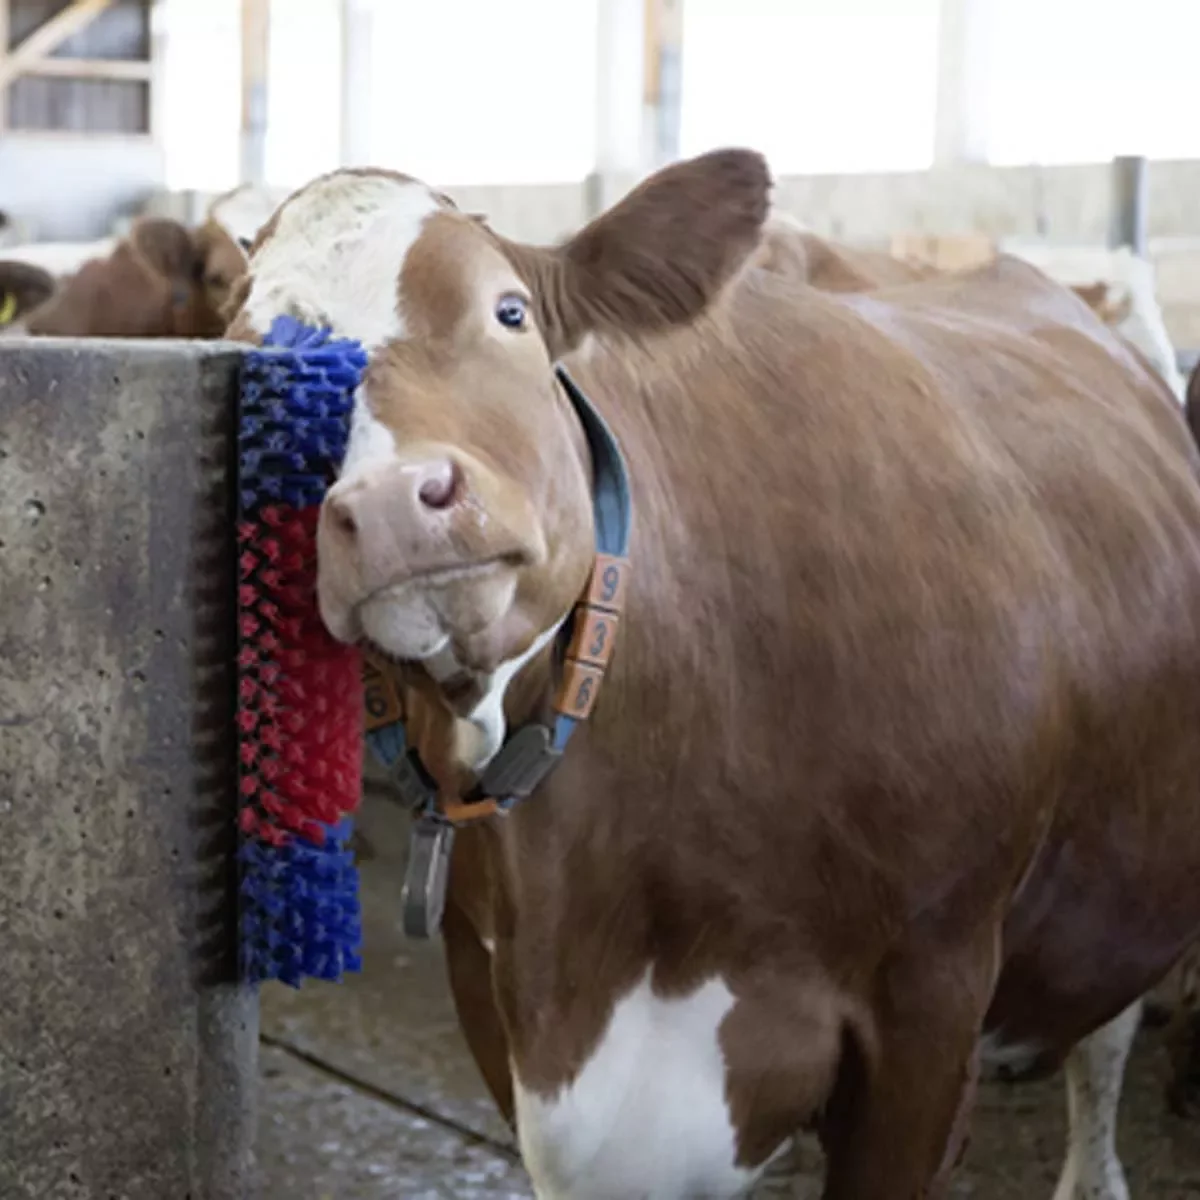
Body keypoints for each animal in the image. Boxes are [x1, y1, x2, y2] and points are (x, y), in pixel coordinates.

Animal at [224, 151, 1200, 1200]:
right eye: (255, 386)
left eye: (509, 311)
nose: (392, 506)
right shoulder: (497, 1000)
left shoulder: (930, 1007)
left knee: (1104, 1038)